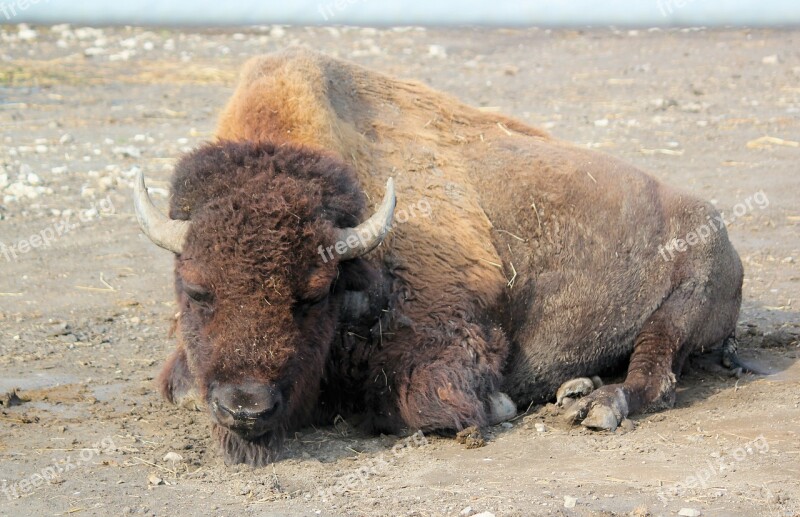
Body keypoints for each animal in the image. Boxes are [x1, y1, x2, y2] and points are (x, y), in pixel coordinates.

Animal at [133, 48, 744, 466]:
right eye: (196, 290)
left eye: (314, 294)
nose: (245, 407)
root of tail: (722, 233)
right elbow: (182, 388)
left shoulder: (446, 335)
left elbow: (417, 405)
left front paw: (498, 405)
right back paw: (575, 389)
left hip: (682, 308)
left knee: (654, 375)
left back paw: (596, 406)